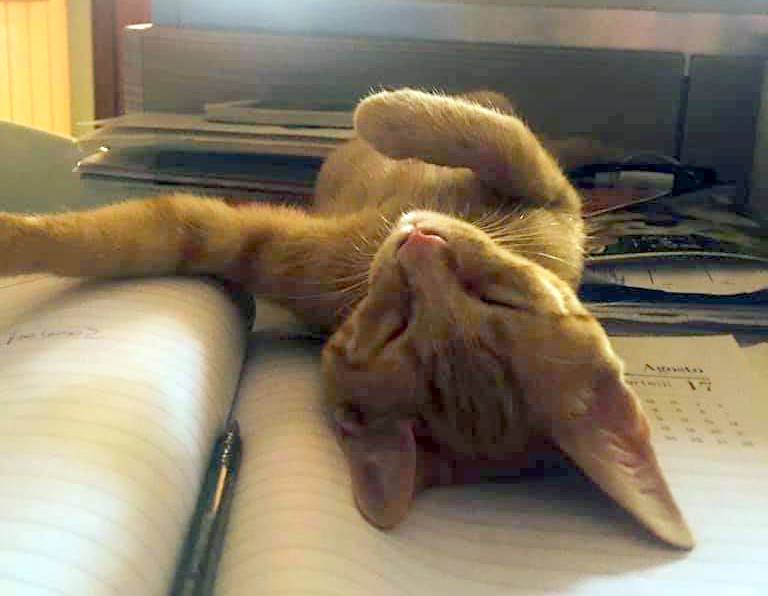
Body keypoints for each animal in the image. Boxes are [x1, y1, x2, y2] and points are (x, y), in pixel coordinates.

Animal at [0, 88, 693, 549]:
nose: (421, 243)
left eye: (395, 326)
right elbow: (106, 241)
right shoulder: (548, 195)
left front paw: (381, 111)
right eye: (501, 296)